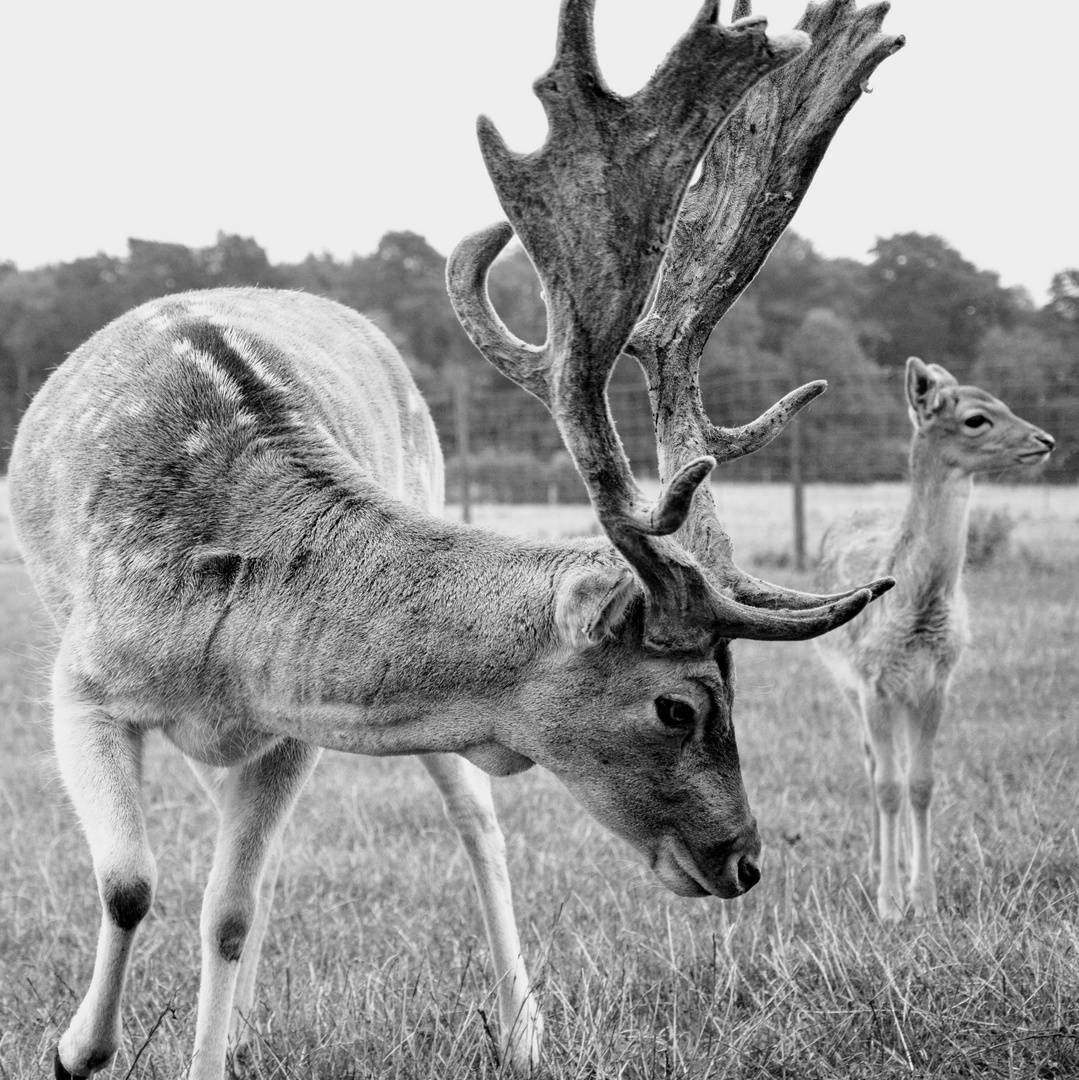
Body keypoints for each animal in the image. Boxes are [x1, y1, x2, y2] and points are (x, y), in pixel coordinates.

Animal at [10, 2, 902, 1080]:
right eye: (677, 707)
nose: (745, 860)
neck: (223, 637)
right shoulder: (81, 682)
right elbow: (131, 883)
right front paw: (76, 1049)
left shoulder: (286, 731)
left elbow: (227, 911)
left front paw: (188, 1053)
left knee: (474, 824)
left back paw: (521, 1033)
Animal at [816, 360, 1054, 920]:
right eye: (976, 419)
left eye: (1004, 402)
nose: (1046, 440)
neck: (917, 611)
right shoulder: (872, 681)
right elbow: (886, 785)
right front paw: (888, 904)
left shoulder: (935, 682)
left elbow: (921, 783)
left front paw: (924, 899)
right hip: (845, 685)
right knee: (872, 762)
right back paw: (878, 866)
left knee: (902, 768)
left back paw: (903, 865)